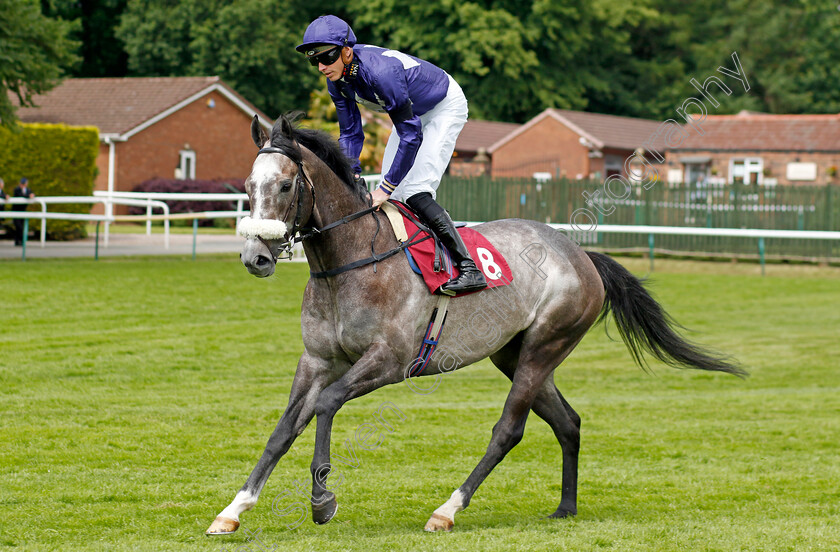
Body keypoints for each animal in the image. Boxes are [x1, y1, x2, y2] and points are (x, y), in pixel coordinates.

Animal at [207, 115, 744, 536]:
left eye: (284, 186)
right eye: (248, 188)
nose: (255, 257)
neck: (353, 261)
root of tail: (580, 254)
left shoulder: (389, 361)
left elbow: (327, 403)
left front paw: (322, 501)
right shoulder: (317, 359)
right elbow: (284, 428)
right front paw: (234, 509)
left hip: (545, 345)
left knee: (508, 430)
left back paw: (447, 510)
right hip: (513, 353)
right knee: (567, 421)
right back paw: (565, 507)